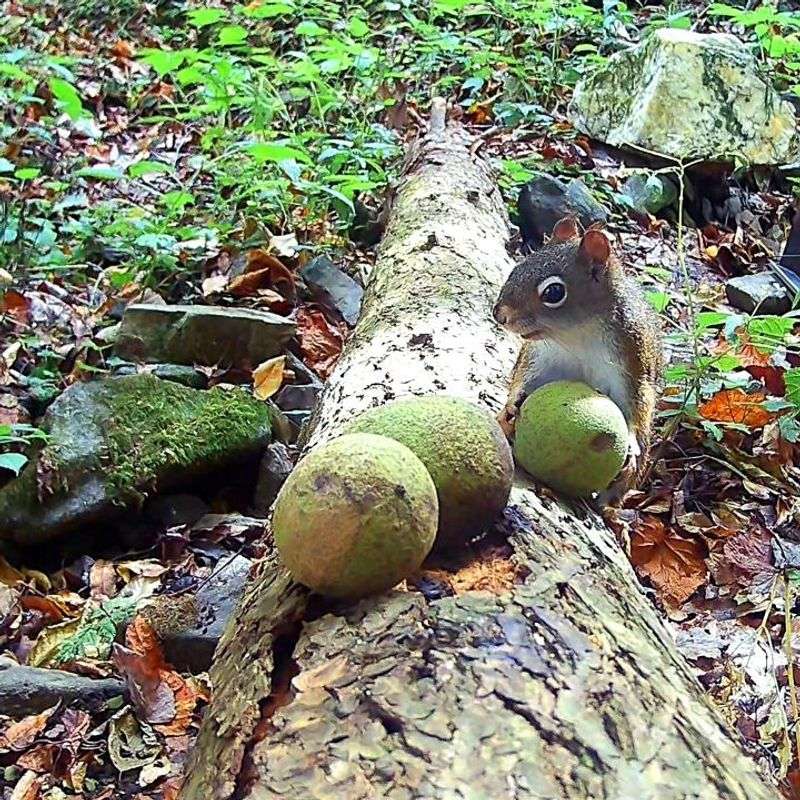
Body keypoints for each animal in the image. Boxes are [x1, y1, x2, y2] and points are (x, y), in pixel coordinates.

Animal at [493, 216, 663, 503]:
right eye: (517, 268)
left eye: (553, 292)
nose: (499, 315)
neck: (576, 335)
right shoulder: (539, 358)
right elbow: (522, 376)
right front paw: (512, 404)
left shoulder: (631, 366)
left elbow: (638, 408)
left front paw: (630, 443)